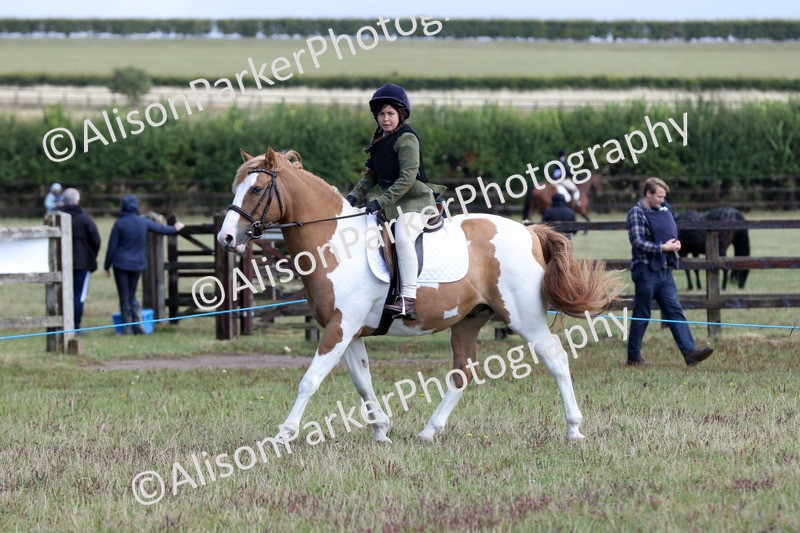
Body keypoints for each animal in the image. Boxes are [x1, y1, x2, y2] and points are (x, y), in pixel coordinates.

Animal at [217, 147, 623, 444]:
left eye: (256, 190)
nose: (226, 238)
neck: (335, 241)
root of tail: (529, 232)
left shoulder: (340, 328)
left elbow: (310, 380)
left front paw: (283, 435)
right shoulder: (348, 331)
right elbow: (362, 382)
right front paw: (381, 431)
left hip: (524, 318)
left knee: (556, 358)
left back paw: (573, 429)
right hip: (468, 320)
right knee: (463, 372)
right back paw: (429, 431)